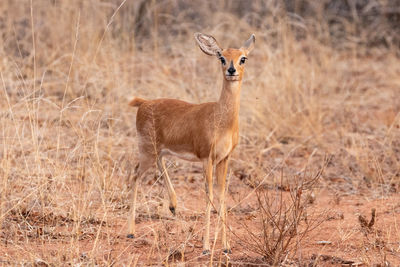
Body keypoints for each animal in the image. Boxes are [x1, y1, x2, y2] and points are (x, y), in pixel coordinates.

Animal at [126, 32, 255, 254]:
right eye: (222, 57)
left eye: (243, 58)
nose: (231, 70)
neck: (221, 119)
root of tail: (143, 103)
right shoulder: (206, 159)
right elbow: (208, 195)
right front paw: (206, 247)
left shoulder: (224, 159)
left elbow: (222, 195)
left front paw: (226, 247)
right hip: (147, 151)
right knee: (135, 175)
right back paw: (131, 231)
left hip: (159, 151)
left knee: (158, 165)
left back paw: (173, 206)